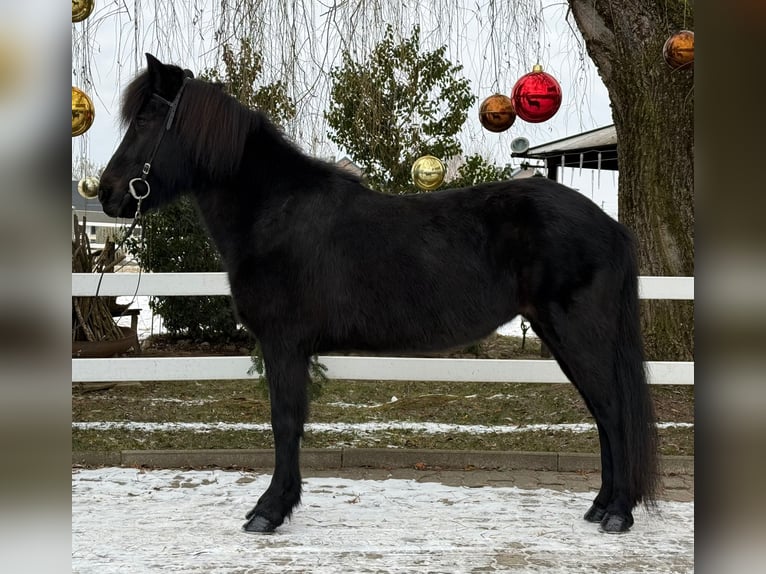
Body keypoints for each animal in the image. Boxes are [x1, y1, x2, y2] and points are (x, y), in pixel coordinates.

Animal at [98, 53, 659, 534]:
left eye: (146, 121)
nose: (107, 192)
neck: (276, 212)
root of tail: (610, 226)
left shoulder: (283, 344)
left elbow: (284, 421)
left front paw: (270, 511)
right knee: (603, 415)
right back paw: (600, 507)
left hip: (576, 332)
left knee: (612, 412)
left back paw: (618, 513)